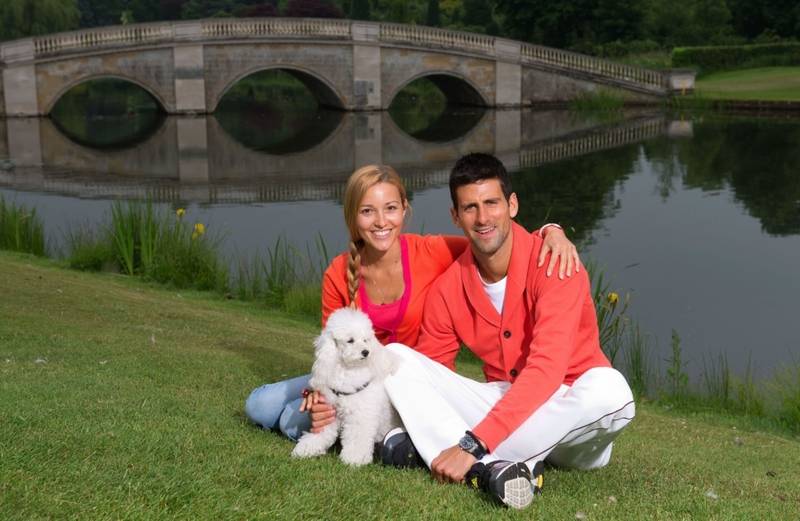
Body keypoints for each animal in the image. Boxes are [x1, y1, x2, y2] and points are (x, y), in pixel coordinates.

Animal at [290, 306, 404, 466]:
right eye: (350, 341)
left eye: (365, 340)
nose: (366, 352)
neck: (347, 373)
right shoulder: (331, 413)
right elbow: (323, 433)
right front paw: (306, 448)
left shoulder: (360, 416)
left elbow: (357, 438)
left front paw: (354, 459)